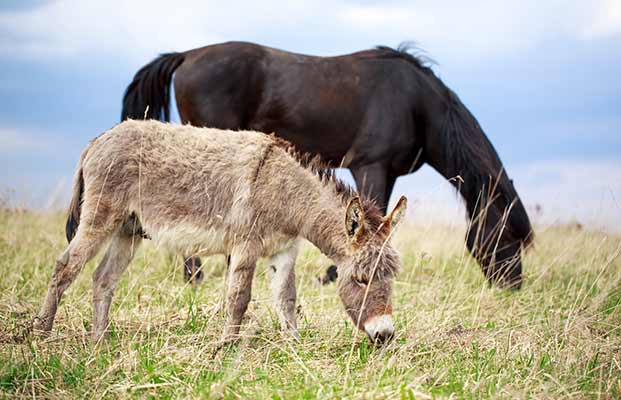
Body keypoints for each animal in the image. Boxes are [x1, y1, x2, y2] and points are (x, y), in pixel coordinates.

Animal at [122, 42, 532, 290]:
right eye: (507, 236)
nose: (512, 286)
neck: (418, 105)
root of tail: (187, 54)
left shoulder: (386, 171)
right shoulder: (371, 166)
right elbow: (367, 213)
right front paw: (336, 273)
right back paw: (196, 275)